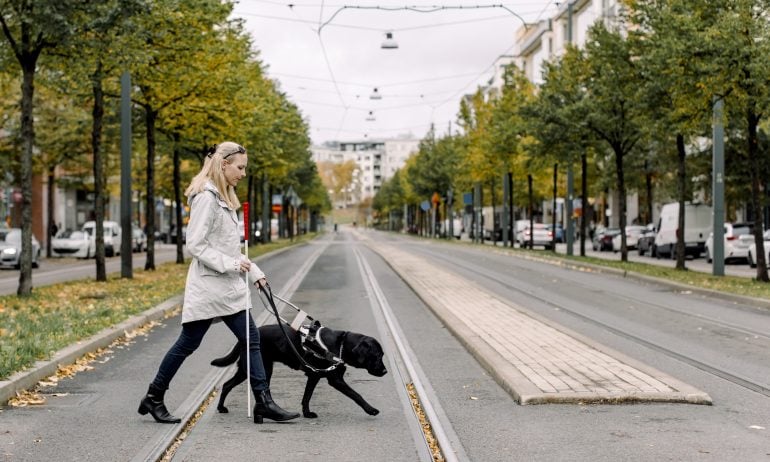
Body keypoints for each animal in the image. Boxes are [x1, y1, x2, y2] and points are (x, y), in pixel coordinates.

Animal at [210, 322, 388, 418]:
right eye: (377, 355)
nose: (385, 372)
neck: (341, 345)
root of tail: (245, 339)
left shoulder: (314, 376)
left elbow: (307, 396)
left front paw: (307, 413)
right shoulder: (335, 380)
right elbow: (356, 395)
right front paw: (371, 409)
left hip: (248, 369)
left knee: (226, 385)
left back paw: (221, 408)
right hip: (259, 369)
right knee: (233, 385)